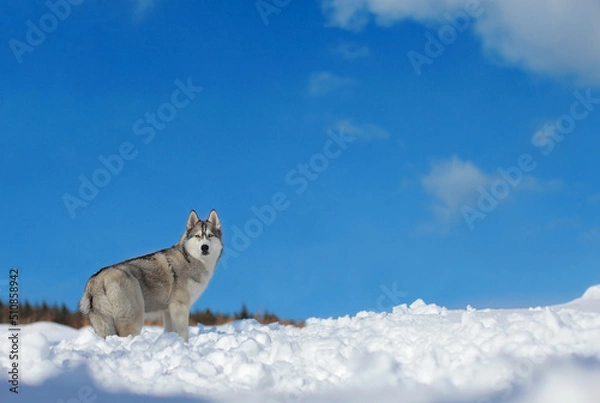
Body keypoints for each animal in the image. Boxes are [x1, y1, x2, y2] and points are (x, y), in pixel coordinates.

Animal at [78, 210, 221, 342]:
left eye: (210, 235)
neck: (191, 260)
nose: (204, 247)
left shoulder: (168, 311)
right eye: (197, 236)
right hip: (134, 318)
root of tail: (98, 279)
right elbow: (183, 333)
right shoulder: (180, 306)